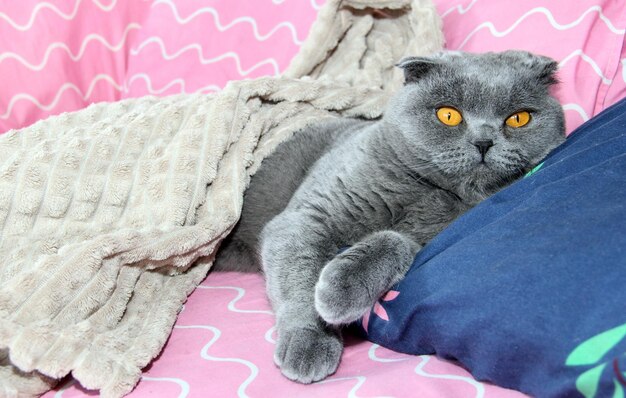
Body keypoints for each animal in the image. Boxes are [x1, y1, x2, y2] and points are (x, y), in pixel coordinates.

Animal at [213, 49, 564, 382]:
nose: (484, 142)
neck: (428, 195)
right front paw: (311, 339)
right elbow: (300, 274)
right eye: (448, 115)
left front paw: (341, 290)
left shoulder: (432, 237)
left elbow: (397, 241)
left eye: (518, 119)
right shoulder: (306, 217)